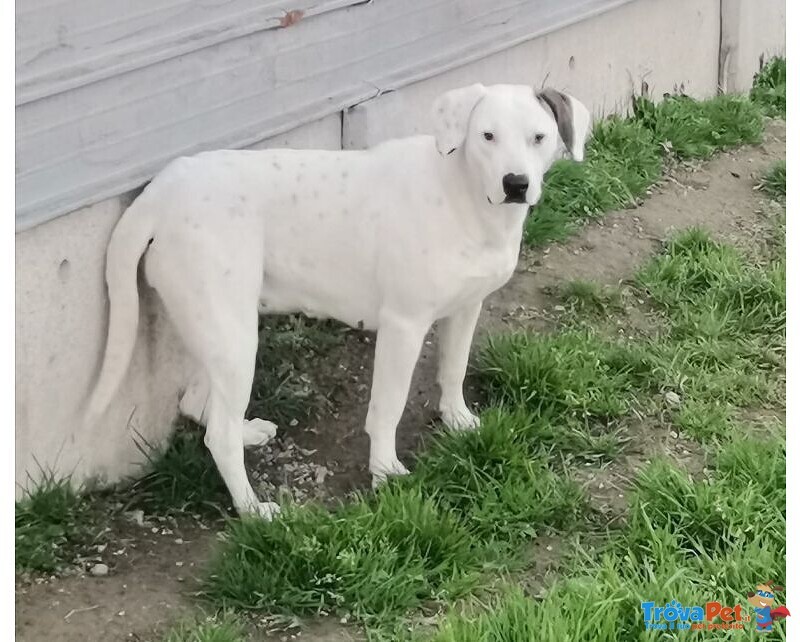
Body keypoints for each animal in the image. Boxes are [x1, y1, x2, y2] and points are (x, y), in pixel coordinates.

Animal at [87, 82, 592, 516]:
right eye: (487, 136)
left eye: (539, 137)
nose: (516, 184)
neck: (462, 194)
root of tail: (159, 193)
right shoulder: (404, 325)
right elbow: (388, 407)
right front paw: (385, 471)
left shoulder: (466, 308)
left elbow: (454, 369)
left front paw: (457, 419)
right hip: (234, 340)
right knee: (219, 436)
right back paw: (252, 510)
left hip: (218, 330)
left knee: (200, 408)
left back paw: (247, 435)